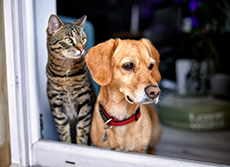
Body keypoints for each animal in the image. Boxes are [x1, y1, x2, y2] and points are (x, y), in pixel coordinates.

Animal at [45, 14, 95, 145]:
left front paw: (81, 146)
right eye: (68, 40)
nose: (81, 49)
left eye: (83, 39)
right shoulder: (57, 105)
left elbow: (83, 130)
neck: (66, 75)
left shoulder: (85, 101)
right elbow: (63, 132)